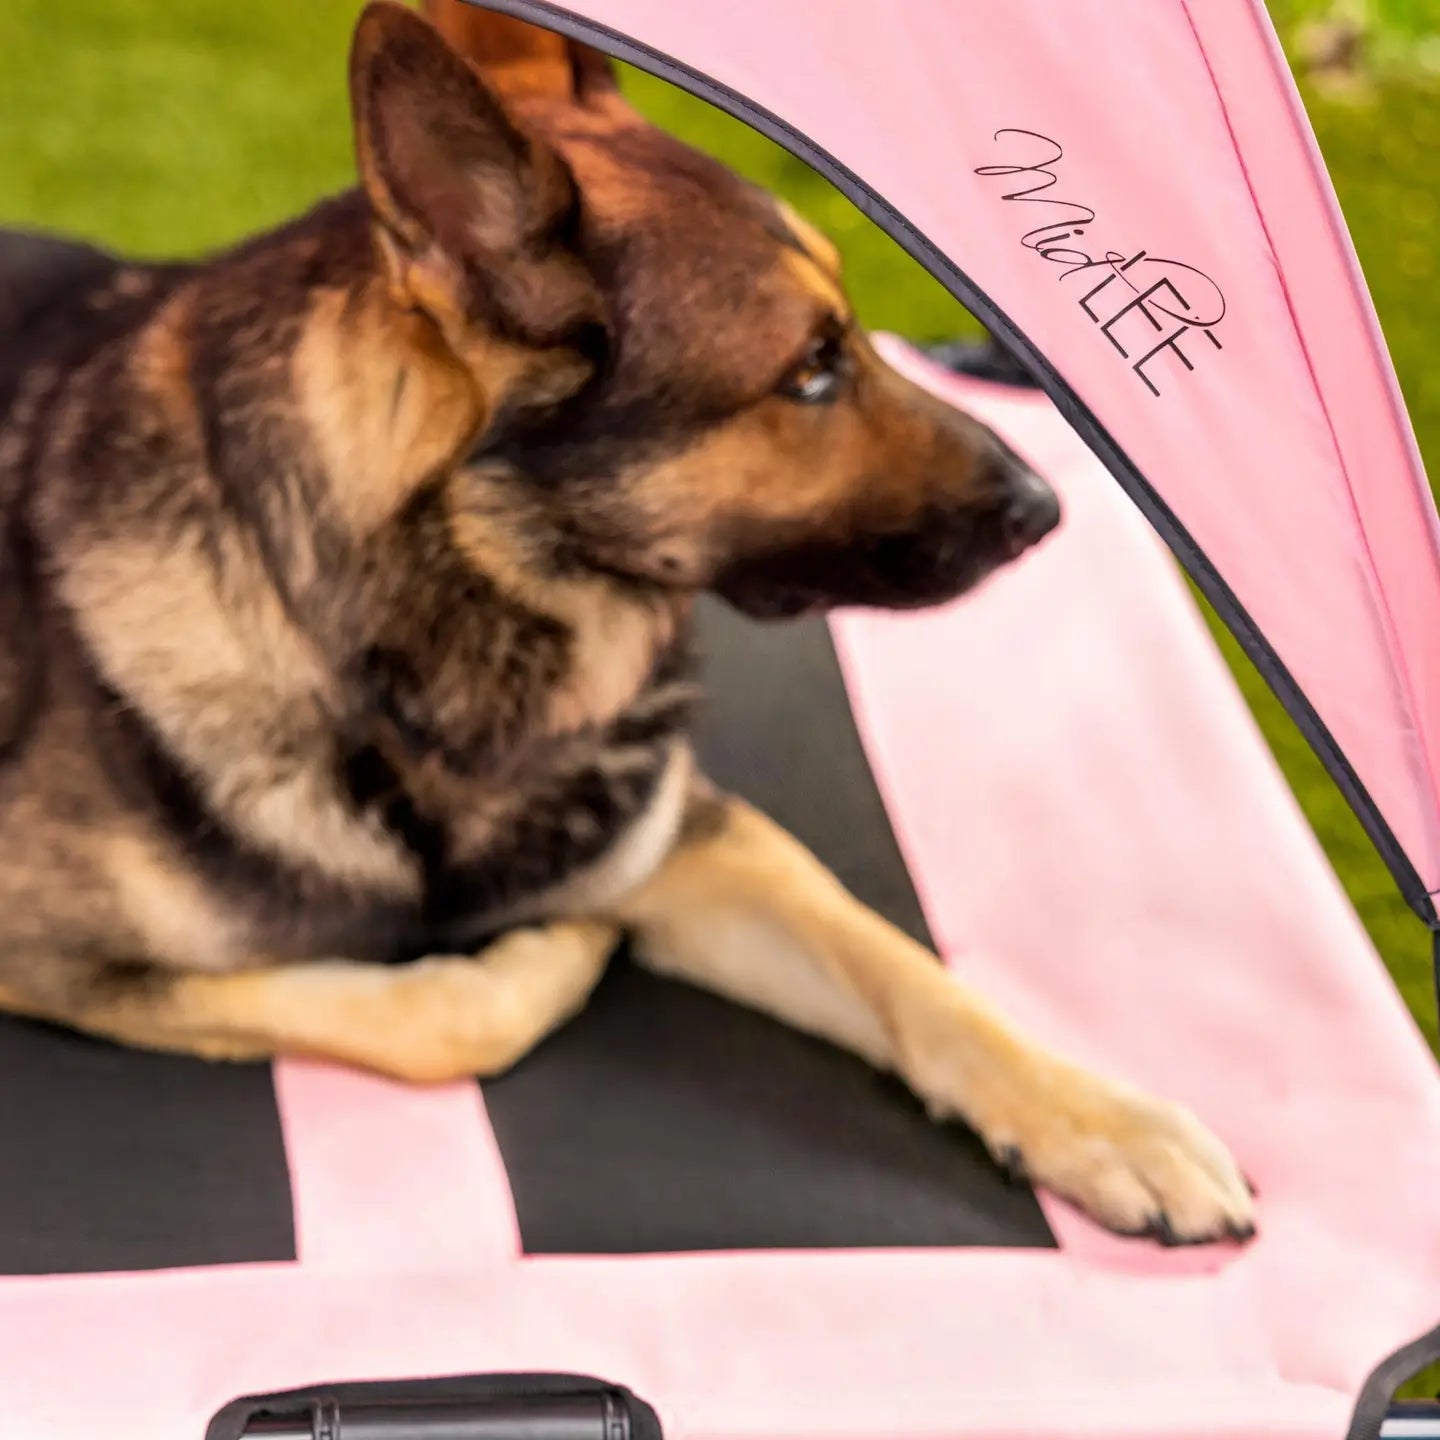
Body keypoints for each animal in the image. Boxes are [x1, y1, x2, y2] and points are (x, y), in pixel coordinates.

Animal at [0, 0, 1249, 1249]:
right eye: (810, 370)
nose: (1047, 508)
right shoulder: (47, 952)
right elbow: (439, 1020)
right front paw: (546, 949)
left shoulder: (702, 843)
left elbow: (904, 967)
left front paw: (1105, 1119)